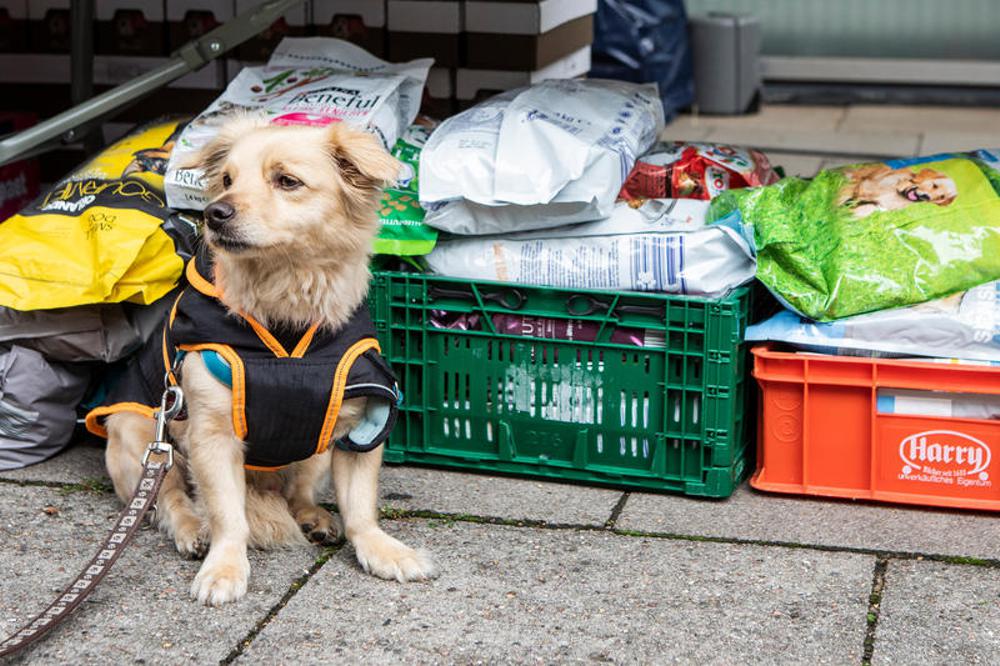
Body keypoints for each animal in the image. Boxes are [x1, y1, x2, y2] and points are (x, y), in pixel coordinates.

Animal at [95, 118, 436, 600]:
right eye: (226, 180)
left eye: (287, 181)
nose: (214, 213)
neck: (284, 305)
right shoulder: (211, 435)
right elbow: (227, 514)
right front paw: (225, 567)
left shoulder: (363, 424)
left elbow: (360, 509)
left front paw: (382, 550)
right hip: (144, 434)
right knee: (169, 497)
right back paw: (192, 529)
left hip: (316, 450)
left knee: (298, 492)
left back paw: (312, 518)